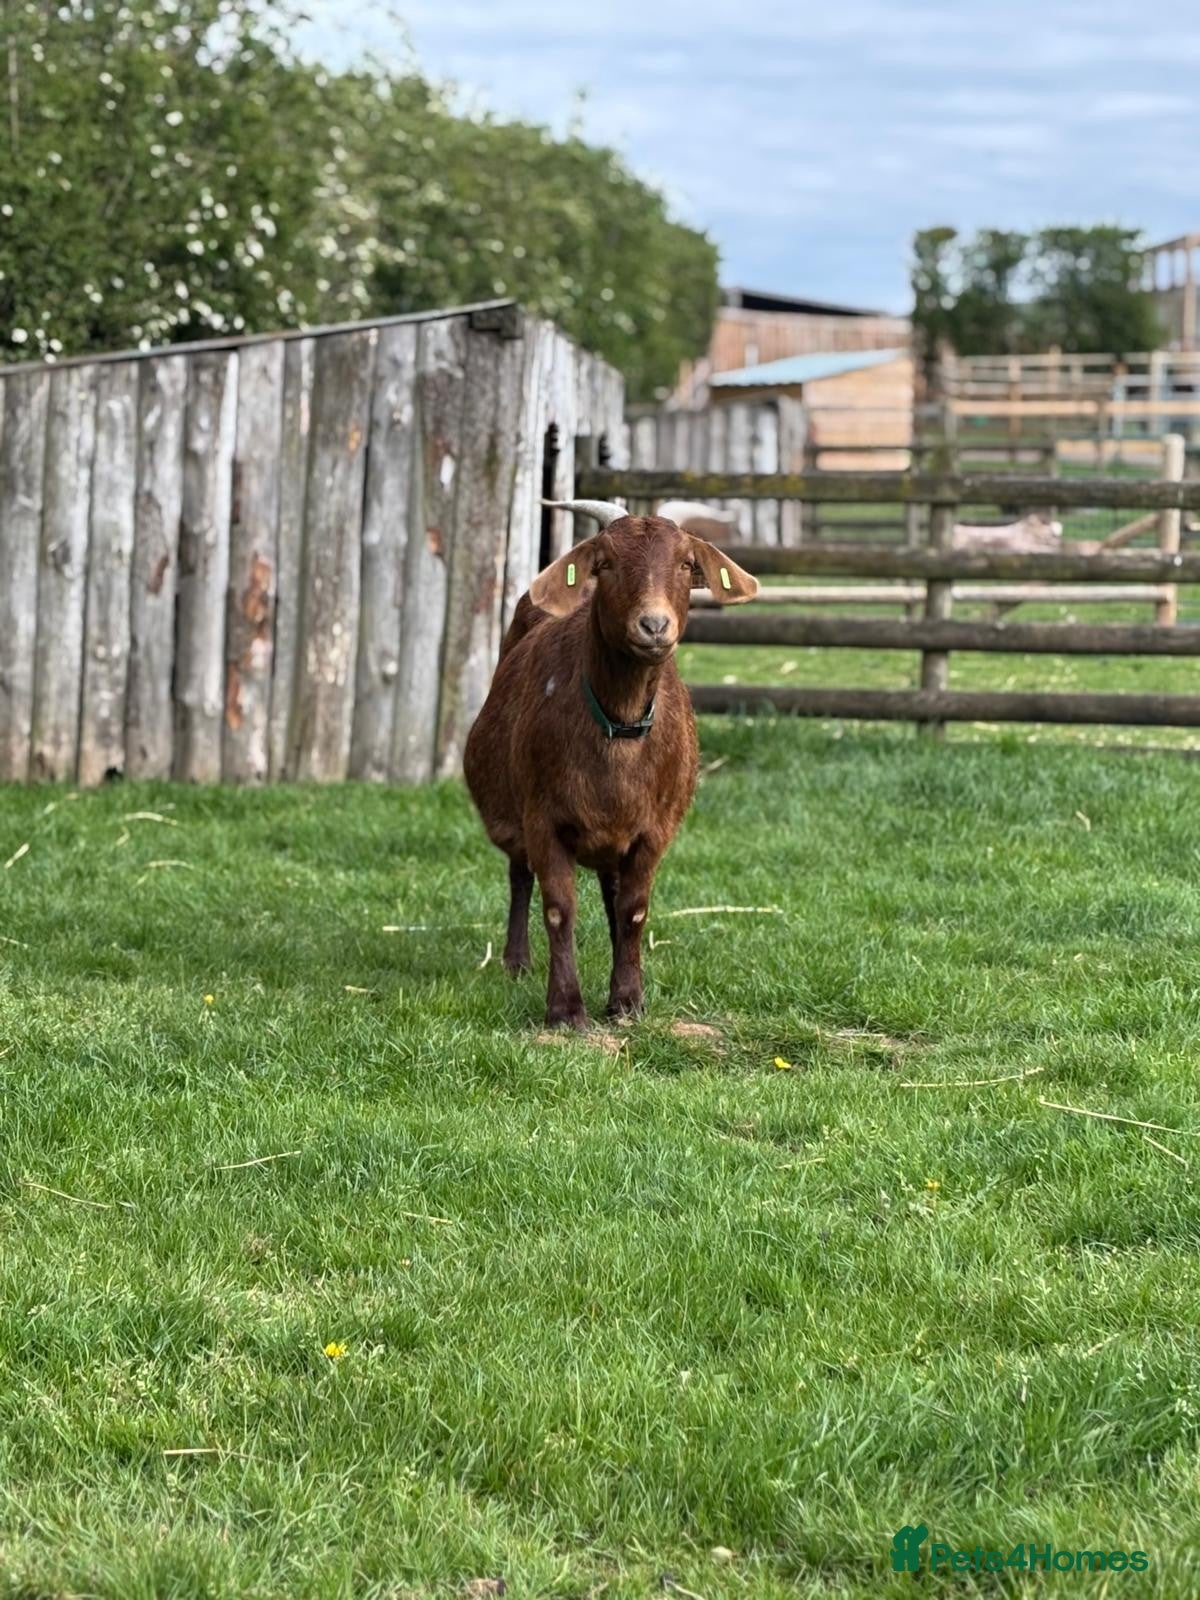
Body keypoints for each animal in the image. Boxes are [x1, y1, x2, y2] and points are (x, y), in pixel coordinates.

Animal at [463, 501, 758, 1029]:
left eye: (686, 563)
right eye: (606, 563)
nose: (654, 626)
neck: (619, 726)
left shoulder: (653, 829)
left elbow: (633, 910)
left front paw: (626, 1000)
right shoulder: (543, 819)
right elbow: (558, 908)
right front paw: (565, 1009)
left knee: (610, 896)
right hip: (515, 811)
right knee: (520, 876)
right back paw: (516, 961)